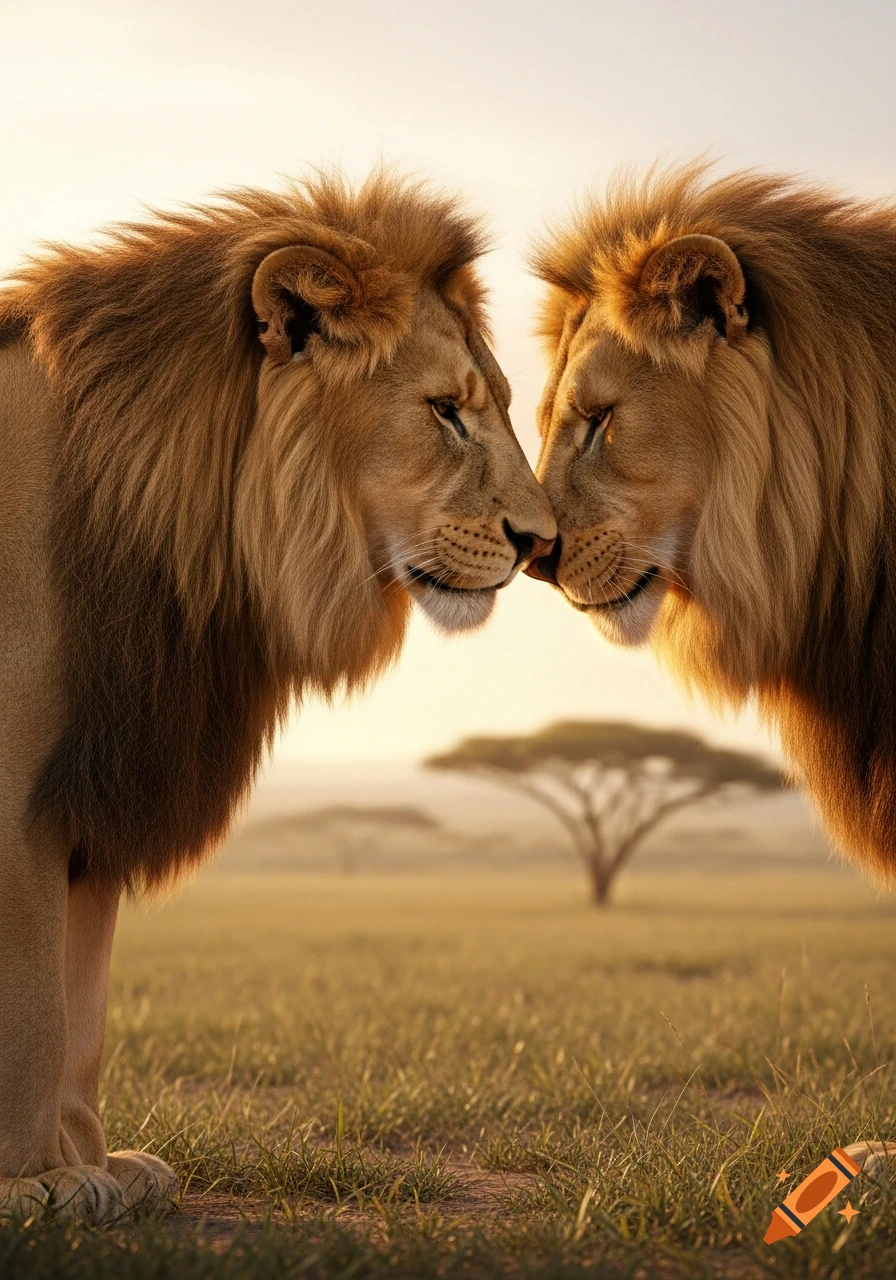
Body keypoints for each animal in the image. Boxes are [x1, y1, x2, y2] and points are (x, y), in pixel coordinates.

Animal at [0, 171, 555, 1222]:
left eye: (497, 405)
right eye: (445, 411)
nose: (542, 542)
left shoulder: (103, 776)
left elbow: (81, 1007)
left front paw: (98, 1165)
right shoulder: (23, 801)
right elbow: (37, 1007)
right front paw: (34, 1186)